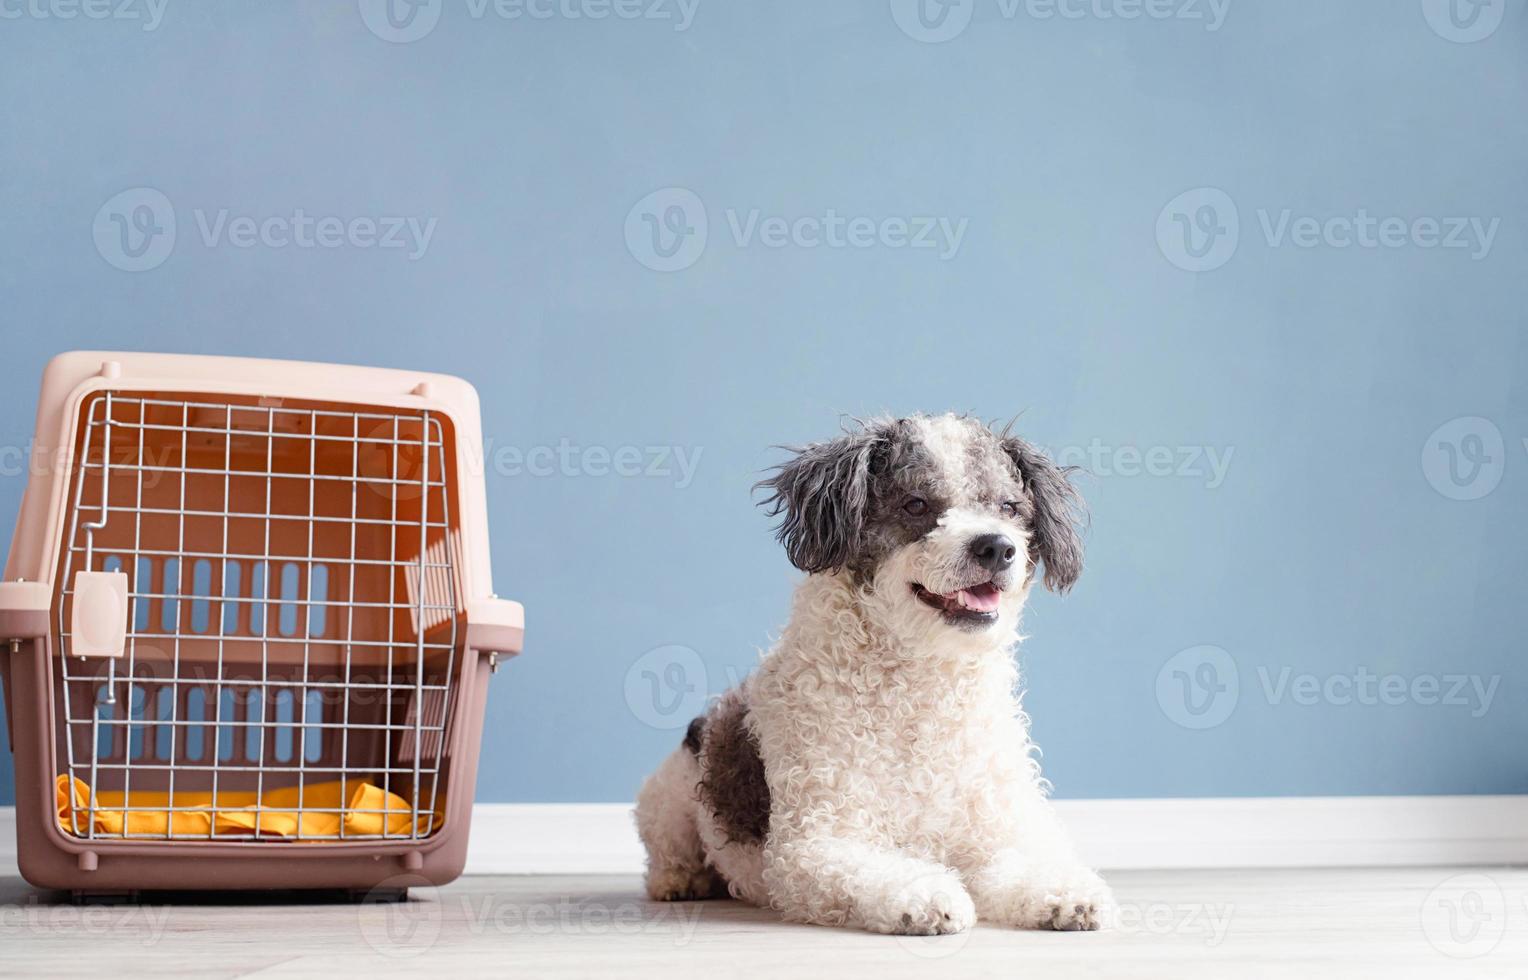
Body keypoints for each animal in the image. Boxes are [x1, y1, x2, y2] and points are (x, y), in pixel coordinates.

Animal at [632, 412, 1112, 929]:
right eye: (916, 504)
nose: (996, 547)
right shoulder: (818, 843)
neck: (921, 687)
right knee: (666, 852)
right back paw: (679, 881)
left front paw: (1066, 895)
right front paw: (927, 895)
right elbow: (879, 874)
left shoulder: (1001, 832)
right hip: (668, 799)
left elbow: (1024, 863)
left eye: (1009, 507)